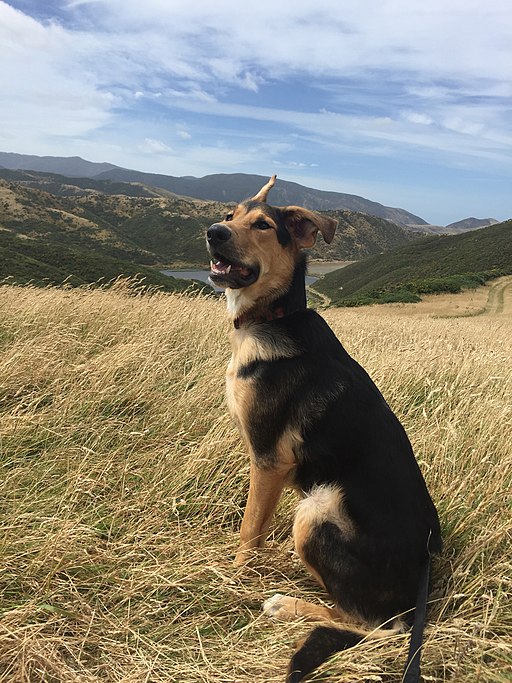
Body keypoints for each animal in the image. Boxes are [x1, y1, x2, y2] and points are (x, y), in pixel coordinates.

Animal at [206, 178, 442, 683]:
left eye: (263, 225)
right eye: (230, 215)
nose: (213, 232)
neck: (273, 316)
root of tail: (423, 577)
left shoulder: (269, 460)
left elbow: (248, 530)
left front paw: (233, 577)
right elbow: (255, 525)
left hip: (316, 509)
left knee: (373, 625)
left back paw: (289, 606)